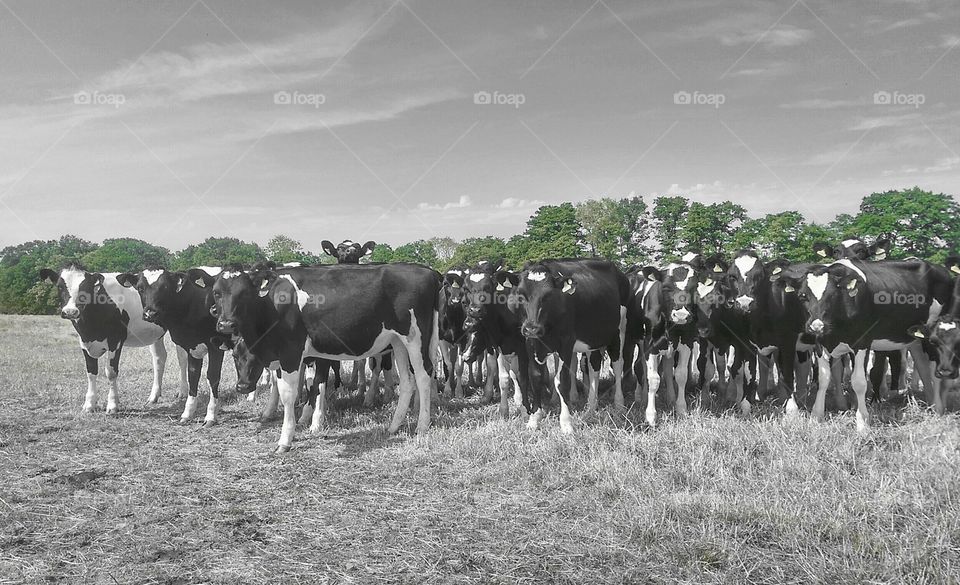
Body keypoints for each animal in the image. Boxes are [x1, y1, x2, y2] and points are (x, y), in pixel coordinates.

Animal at [40, 263, 171, 414]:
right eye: (60, 286)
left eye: (85, 287)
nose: (70, 312)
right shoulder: (84, 341)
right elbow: (91, 371)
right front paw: (89, 404)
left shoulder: (116, 340)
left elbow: (111, 372)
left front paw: (113, 405)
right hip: (155, 334)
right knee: (159, 358)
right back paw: (153, 396)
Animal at [116, 266, 227, 426]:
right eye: (140, 288)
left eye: (165, 287)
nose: (150, 313)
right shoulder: (192, 347)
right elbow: (193, 376)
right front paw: (187, 414)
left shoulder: (216, 347)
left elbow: (212, 377)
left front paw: (211, 416)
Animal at [212, 262, 440, 452]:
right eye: (216, 293)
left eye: (244, 293)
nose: (226, 324)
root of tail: (428, 271)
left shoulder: (291, 353)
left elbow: (289, 395)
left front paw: (285, 440)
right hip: (398, 341)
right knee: (408, 381)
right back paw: (393, 426)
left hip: (416, 337)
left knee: (423, 376)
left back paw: (421, 428)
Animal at [512, 258, 630, 433]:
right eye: (521, 294)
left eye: (548, 295)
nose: (532, 327)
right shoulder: (531, 342)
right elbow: (535, 377)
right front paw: (534, 419)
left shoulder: (566, 343)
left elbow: (562, 380)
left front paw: (566, 423)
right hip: (593, 338)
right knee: (594, 368)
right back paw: (590, 408)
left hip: (619, 330)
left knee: (617, 364)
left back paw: (619, 405)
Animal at [783, 258, 951, 429]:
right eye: (803, 296)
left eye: (832, 295)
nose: (817, 325)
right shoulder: (820, 344)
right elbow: (823, 378)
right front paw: (816, 416)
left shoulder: (862, 343)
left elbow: (859, 382)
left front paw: (862, 423)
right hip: (915, 338)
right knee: (923, 366)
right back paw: (931, 403)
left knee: (934, 370)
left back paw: (938, 408)